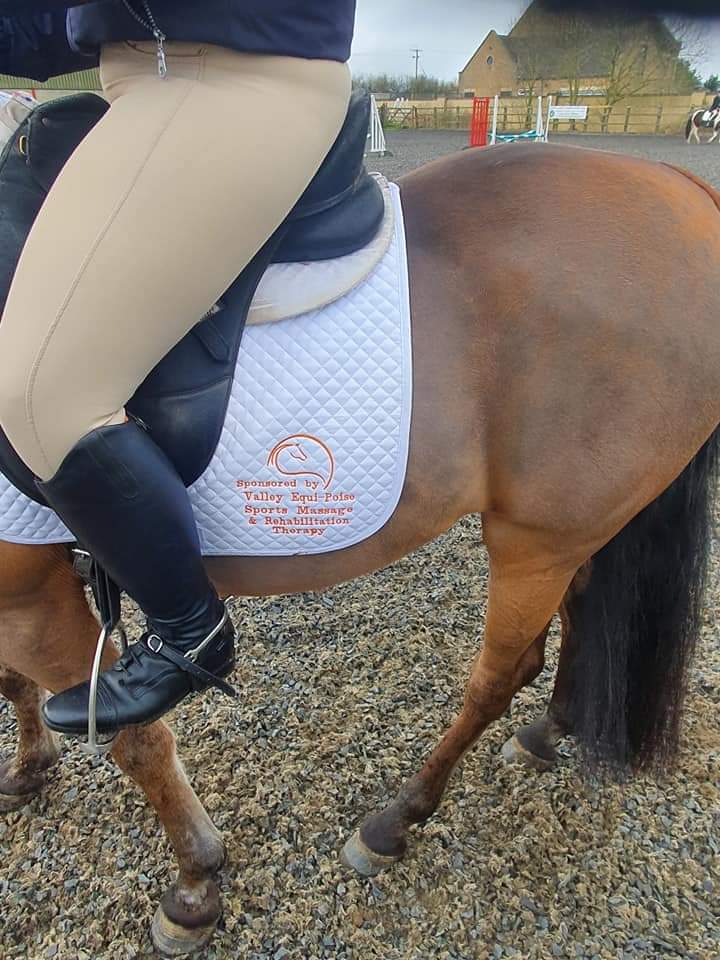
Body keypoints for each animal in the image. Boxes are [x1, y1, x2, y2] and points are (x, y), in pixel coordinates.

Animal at [1, 142, 719, 955]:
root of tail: (681, 188)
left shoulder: (30, 596)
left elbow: (133, 740)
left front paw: (194, 886)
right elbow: (15, 684)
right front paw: (30, 767)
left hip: (536, 539)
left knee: (502, 674)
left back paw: (393, 821)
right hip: (573, 528)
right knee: (583, 610)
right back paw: (546, 733)